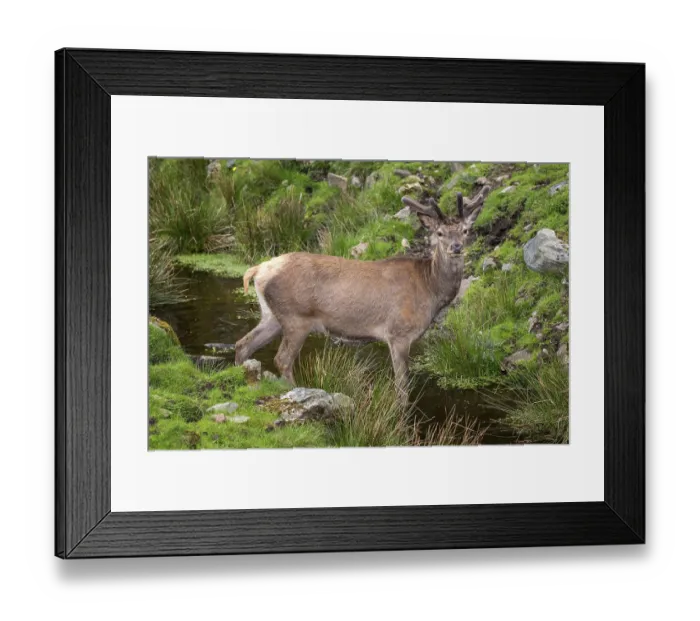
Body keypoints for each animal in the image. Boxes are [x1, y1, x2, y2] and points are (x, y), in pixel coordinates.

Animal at [235, 185, 491, 401]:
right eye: (439, 233)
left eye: (465, 230)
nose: (456, 247)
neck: (430, 289)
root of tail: (259, 269)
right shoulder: (398, 333)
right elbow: (402, 387)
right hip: (296, 317)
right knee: (282, 359)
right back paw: (295, 390)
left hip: (272, 315)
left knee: (242, 344)